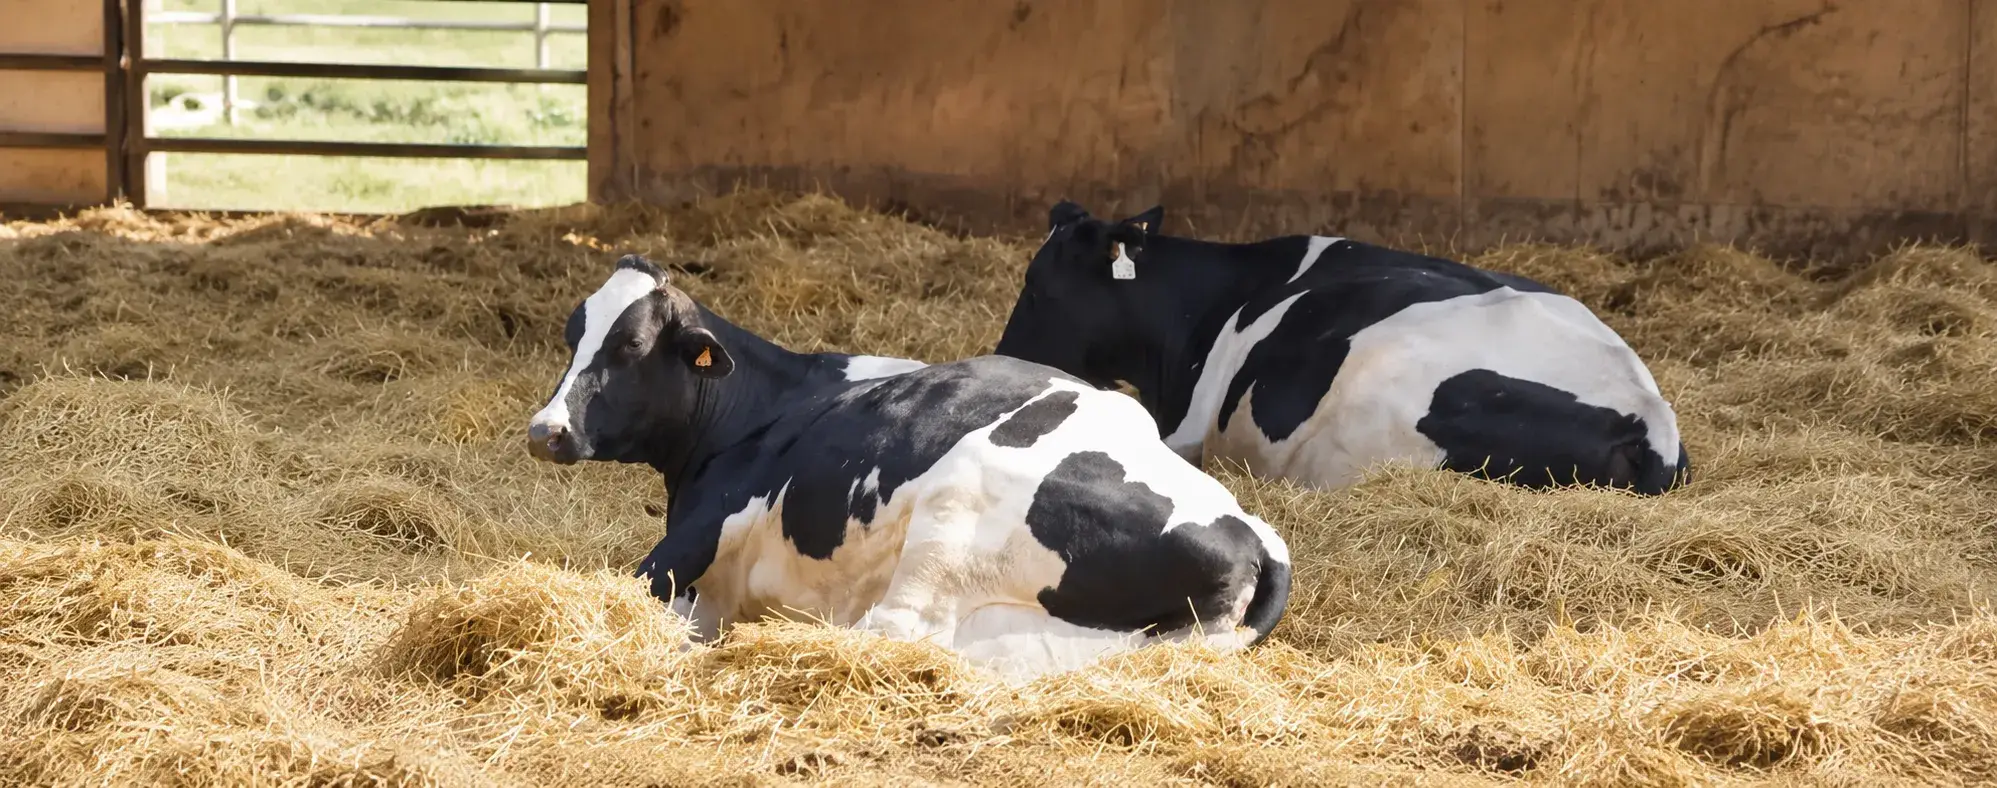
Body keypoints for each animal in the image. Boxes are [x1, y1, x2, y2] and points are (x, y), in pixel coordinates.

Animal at [524, 255, 1293, 678]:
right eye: (571, 335)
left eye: (630, 345)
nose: (544, 431)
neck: (756, 407)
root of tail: (1252, 534)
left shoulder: (701, 532)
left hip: (952, 514)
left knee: (891, 630)